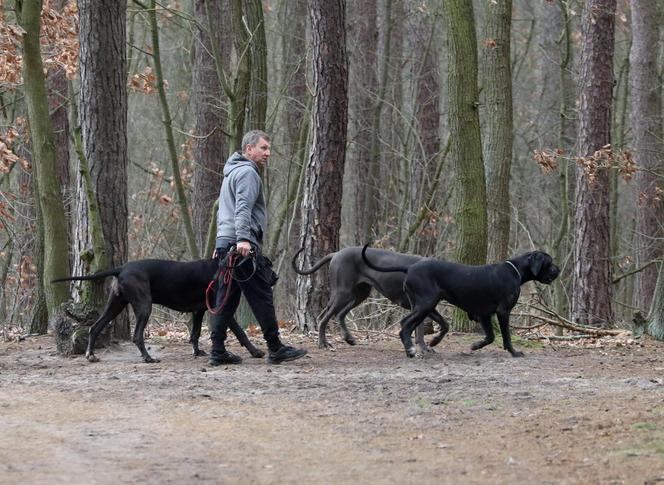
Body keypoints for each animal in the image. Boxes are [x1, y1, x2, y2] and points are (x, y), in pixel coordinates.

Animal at [52, 260, 264, 362]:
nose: (272, 277)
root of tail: (122, 268)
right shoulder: (220, 309)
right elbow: (241, 333)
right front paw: (255, 351)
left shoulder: (199, 311)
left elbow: (195, 334)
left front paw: (197, 352)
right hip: (144, 306)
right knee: (137, 335)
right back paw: (148, 358)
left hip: (115, 304)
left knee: (94, 327)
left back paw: (90, 355)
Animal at [360, 244, 556, 358]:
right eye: (550, 261)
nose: (559, 269)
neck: (515, 270)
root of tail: (409, 268)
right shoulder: (503, 311)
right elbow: (506, 336)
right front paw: (514, 352)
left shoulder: (484, 314)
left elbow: (490, 337)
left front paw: (476, 346)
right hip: (426, 304)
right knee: (405, 324)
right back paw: (410, 350)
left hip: (426, 305)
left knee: (416, 324)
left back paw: (429, 344)